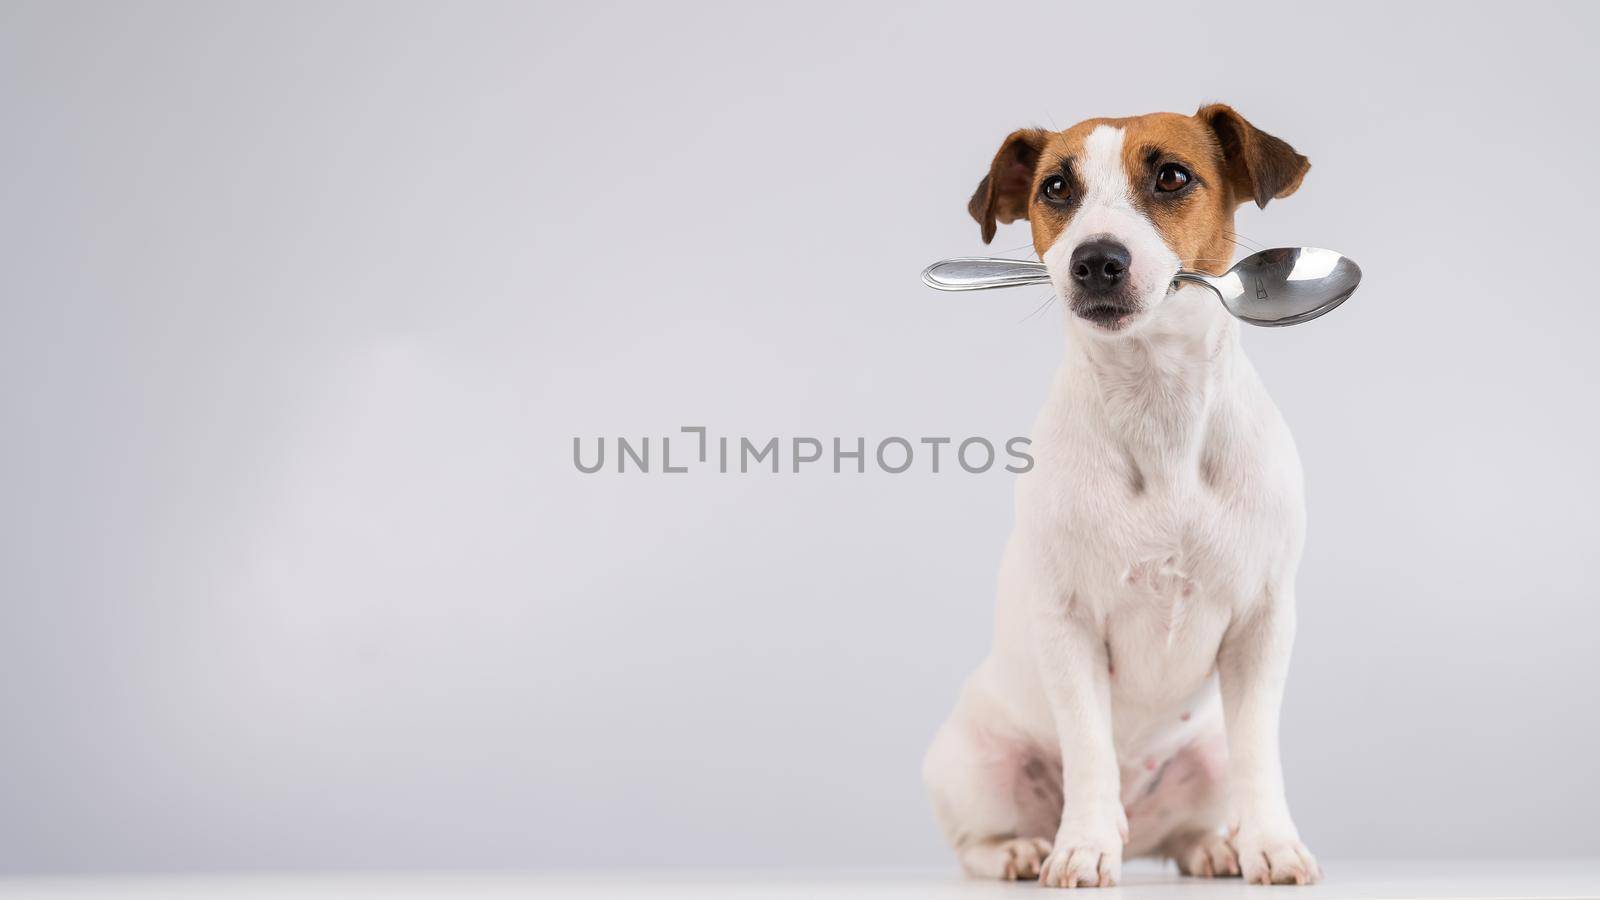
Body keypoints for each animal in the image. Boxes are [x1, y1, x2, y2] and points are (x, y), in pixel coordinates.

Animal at [928, 106, 1324, 883]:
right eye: (1055, 187)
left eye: (1172, 175)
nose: (1096, 260)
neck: (1156, 401)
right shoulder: (1069, 626)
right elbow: (1088, 750)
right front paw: (1083, 845)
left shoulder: (1263, 623)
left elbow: (1259, 751)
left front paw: (1269, 841)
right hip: (970, 761)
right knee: (976, 842)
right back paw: (1021, 849)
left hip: (1205, 757)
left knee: (1189, 821)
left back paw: (1213, 845)